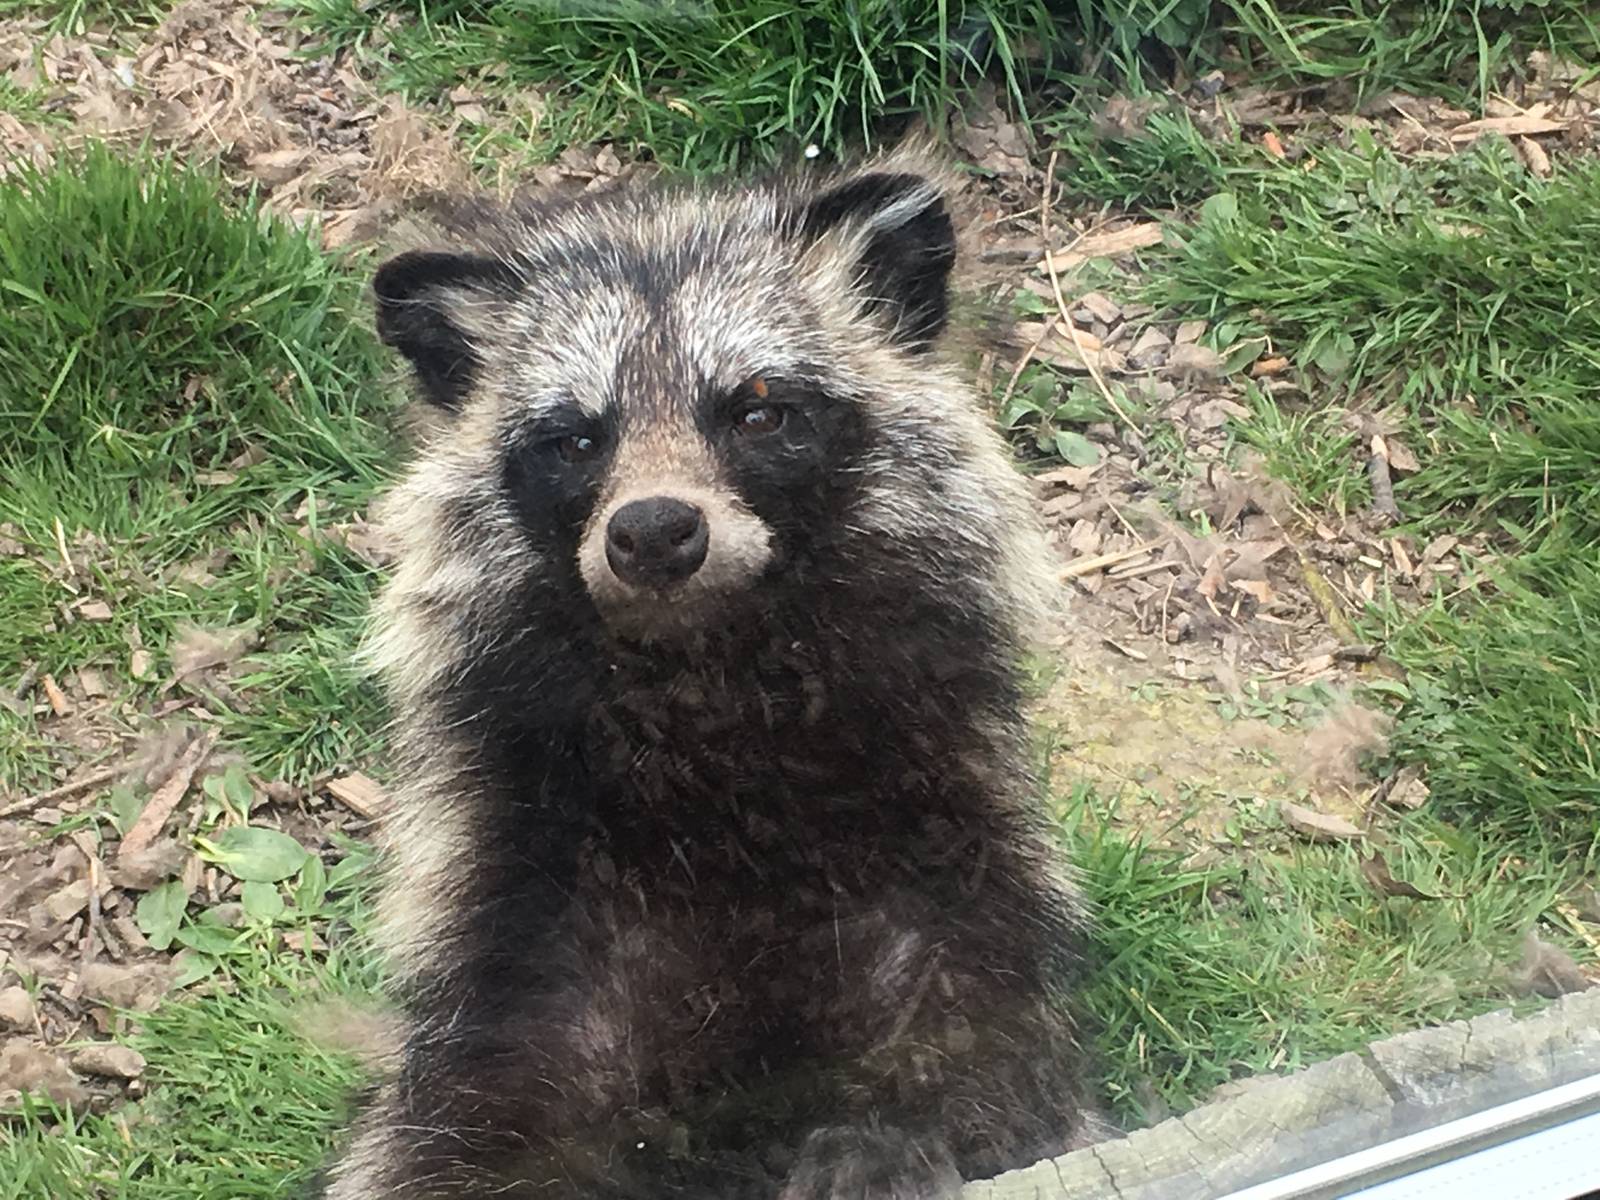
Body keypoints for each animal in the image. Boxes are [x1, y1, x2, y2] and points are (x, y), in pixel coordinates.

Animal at [317, 146, 1101, 1200]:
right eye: (577, 439)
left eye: (758, 411)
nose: (653, 530)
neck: (712, 683)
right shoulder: (524, 955)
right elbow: (462, 1144)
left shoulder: (950, 885)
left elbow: (991, 1081)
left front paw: (883, 1144)